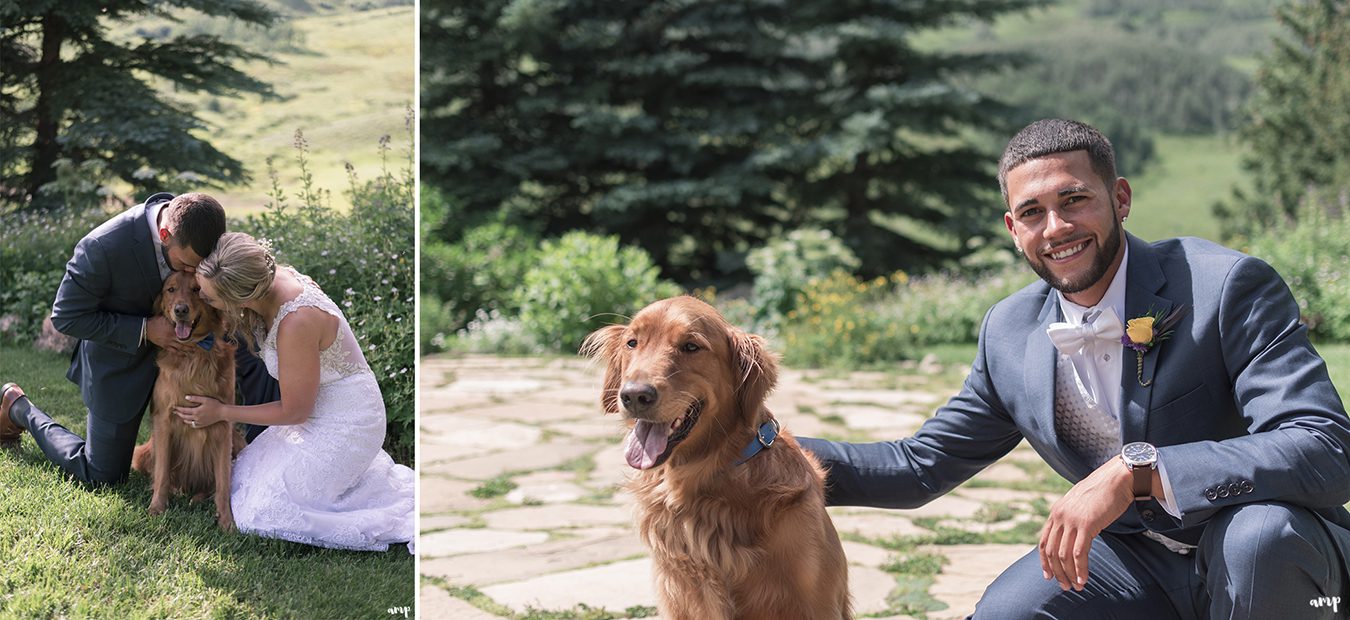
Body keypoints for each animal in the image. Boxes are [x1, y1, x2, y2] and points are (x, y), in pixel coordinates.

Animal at [130, 274, 244, 532]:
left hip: (238, 441)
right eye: (170, 290)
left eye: (197, 289)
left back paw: (198, 497)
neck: (194, 352)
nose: (180, 310)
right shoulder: (163, 421)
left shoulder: (223, 426)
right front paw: (157, 508)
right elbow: (162, 474)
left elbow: (223, 481)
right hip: (143, 453)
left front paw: (226, 521)